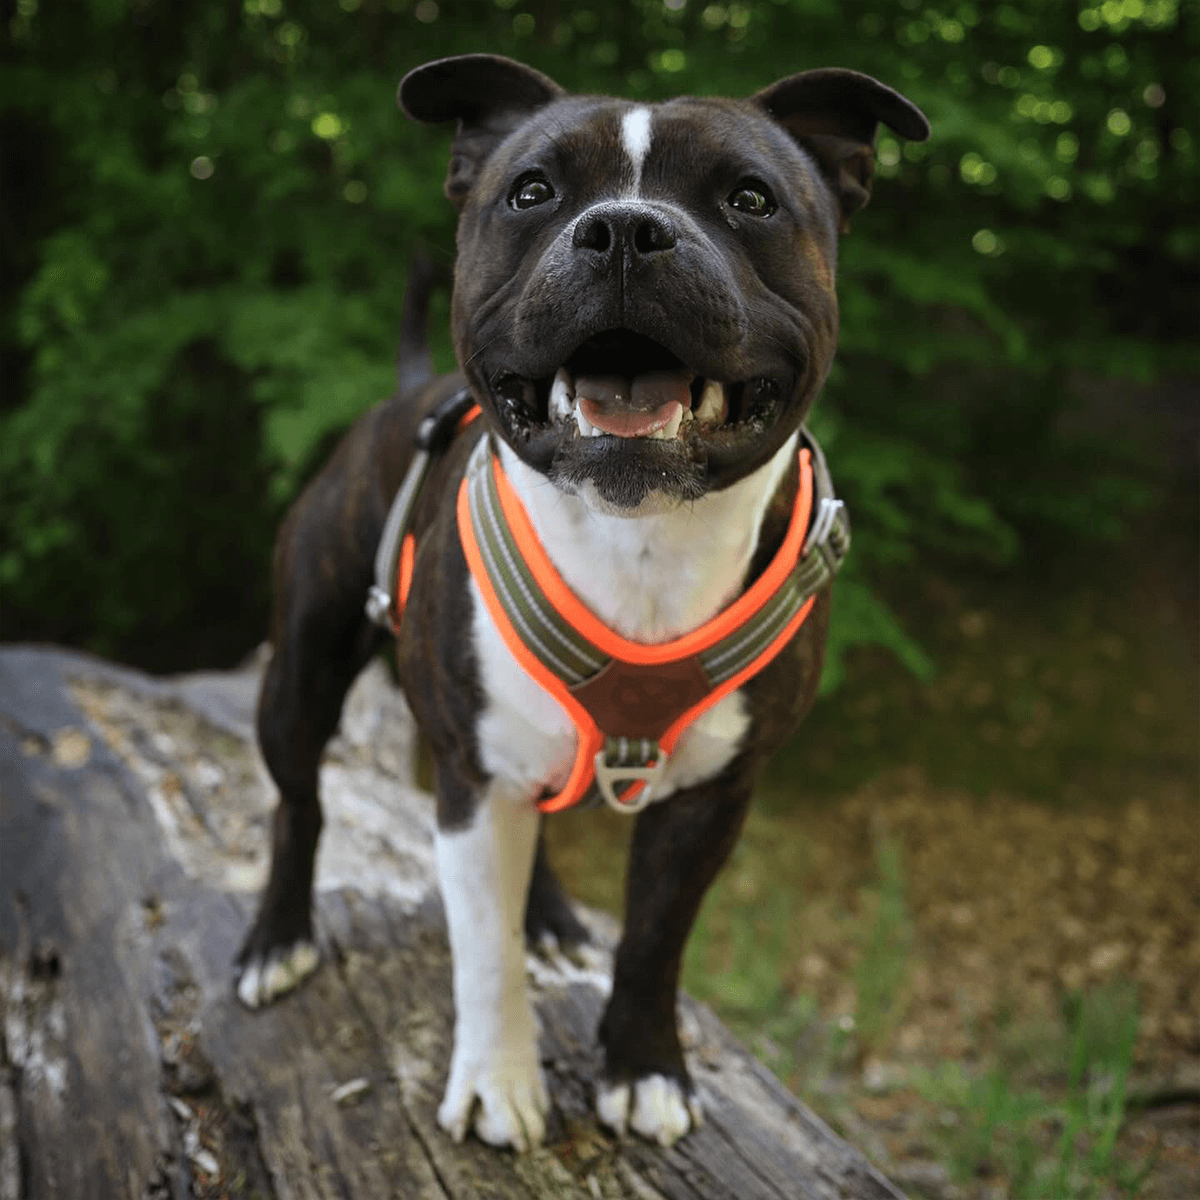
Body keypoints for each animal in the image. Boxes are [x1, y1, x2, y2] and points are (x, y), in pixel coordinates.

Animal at [231, 54, 926, 1152]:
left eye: (750, 198)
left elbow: (655, 939)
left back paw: (552, 918)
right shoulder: (471, 781)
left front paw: (643, 1068)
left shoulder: (710, 797)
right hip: (300, 675)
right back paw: (278, 937)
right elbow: (482, 952)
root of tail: (402, 395)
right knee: (300, 801)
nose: (625, 229)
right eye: (533, 192)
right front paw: (497, 1082)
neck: (638, 538)